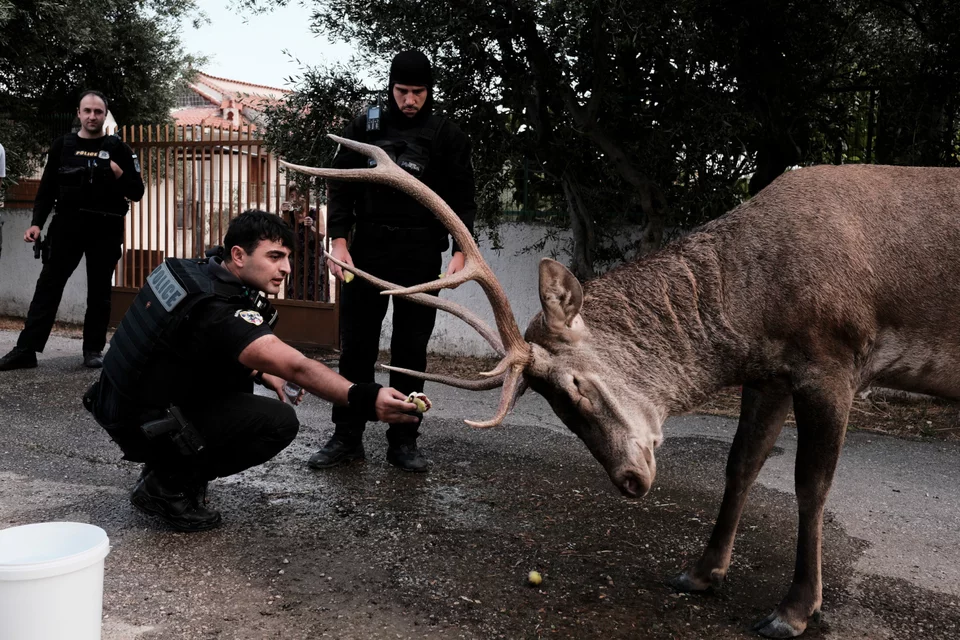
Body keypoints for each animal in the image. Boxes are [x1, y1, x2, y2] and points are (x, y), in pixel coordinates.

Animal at [282, 138, 960, 636]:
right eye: (555, 405)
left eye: (577, 386)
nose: (630, 481)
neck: (758, 305)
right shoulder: (770, 370)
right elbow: (741, 464)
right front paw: (700, 573)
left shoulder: (834, 358)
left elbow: (811, 486)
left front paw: (792, 611)